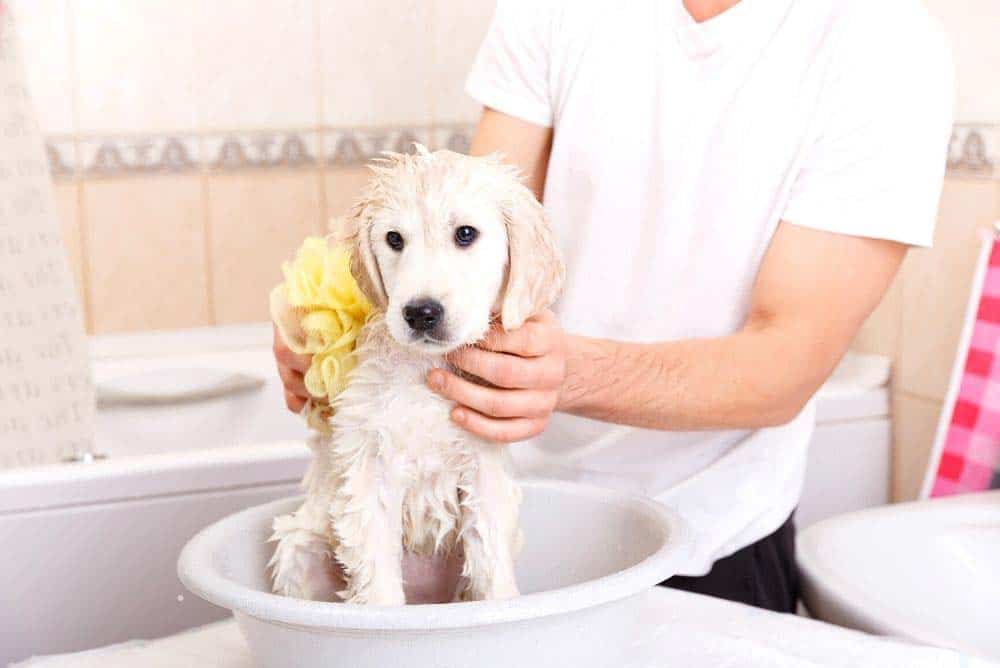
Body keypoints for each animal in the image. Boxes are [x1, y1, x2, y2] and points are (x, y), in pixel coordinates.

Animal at [268, 146, 564, 604]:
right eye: (394, 239)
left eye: (465, 234)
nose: (421, 312)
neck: (426, 370)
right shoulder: (369, 471)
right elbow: (378, 581)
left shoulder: (484, 468)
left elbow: (493, 566)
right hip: (302, 547)